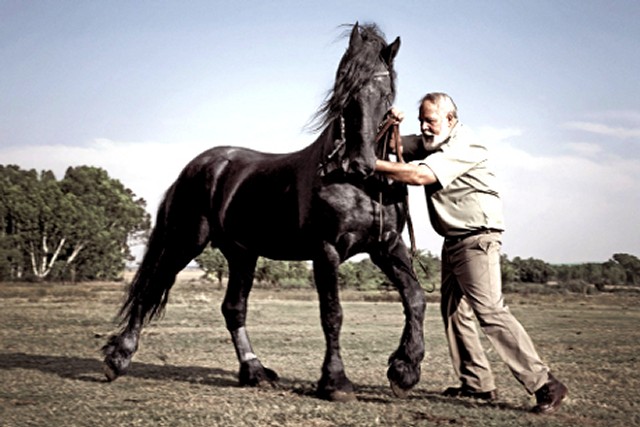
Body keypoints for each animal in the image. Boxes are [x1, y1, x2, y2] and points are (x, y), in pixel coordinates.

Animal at [104, 22, 424, 404]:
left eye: (386, 95)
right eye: (344, 89)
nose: (358, 164)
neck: (358, 186)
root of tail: (197, 167)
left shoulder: (385, 247)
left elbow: (415, 297)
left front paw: (405, 369)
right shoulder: (326, 252)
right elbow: (332, 313)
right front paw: (336, 382)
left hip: (242, 254)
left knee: (232, 308)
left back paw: (254, 371)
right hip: (185, 242)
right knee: (151, 288)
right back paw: (118, 358)